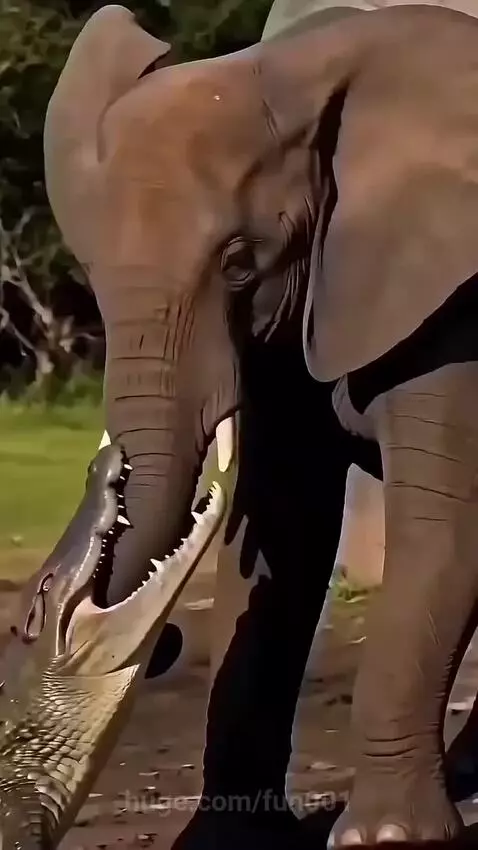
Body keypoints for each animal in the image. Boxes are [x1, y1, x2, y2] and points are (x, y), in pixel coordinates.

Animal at [43, 0, 478, 846]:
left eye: (241, 264)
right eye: (91, 275)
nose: (164, 641)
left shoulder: (455, 294)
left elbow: (442, 518)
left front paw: (388, 840)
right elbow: (283, 522)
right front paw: (225, 841)